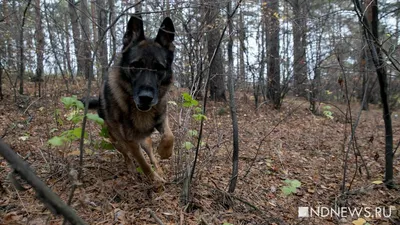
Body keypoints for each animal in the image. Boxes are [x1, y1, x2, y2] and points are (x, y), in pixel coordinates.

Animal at [87, 14, 175, 183]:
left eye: (159, 69)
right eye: (135, 66)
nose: (146, 98)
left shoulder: (162, 117)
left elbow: (169, 136)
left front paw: (164, 152)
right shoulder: (130, 141)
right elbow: (143, 164)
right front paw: (155, 182)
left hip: (145, 141)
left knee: (151, 155)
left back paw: (160, 170)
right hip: (116, 141)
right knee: (126, 155)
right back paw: (132, 170)